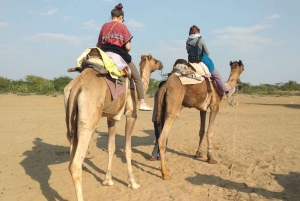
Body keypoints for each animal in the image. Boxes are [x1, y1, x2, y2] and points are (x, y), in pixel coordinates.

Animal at [63, 49, 162, 200]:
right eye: (155, 61)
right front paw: (133, 183)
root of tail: (76, 86)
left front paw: (108, 180)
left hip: (72, 119)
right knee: (75, 165)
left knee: (71, 158)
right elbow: (127, 149)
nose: (162, 64)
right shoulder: (131, 114)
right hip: (88, 121)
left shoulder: (111, 118)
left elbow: (111, 147)